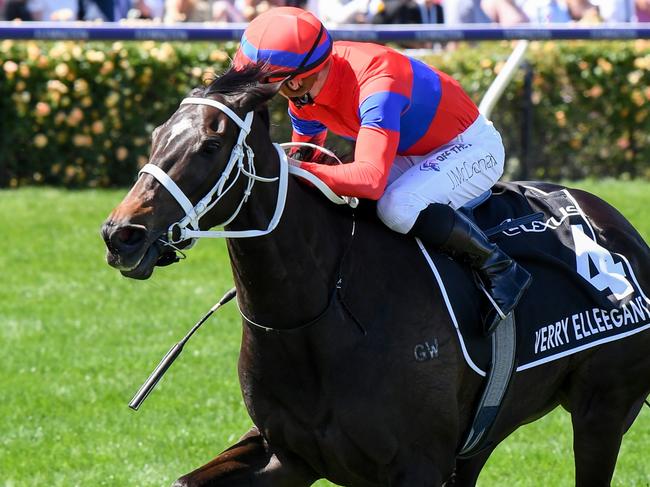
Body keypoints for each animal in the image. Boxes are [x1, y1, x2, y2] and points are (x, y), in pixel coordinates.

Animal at [101, 66, 648, 487]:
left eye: (210, 145)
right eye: (157, 136)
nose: (120, 234)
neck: (318, 316)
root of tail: (622, 229)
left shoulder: (418, 465)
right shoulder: (287, 455)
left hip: (602, 410)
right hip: (484, 433)